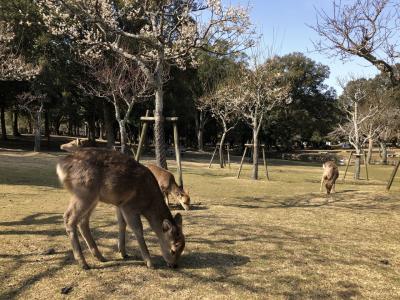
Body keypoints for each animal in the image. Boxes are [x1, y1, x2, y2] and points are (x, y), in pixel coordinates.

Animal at [55, 148, 185, 270]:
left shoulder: (119, 204)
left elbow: (122, 224)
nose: (174, 265)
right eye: (173, 249)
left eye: (183, 247)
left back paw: (100, 257)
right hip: (84, 192)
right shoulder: (129, 206)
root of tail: (60, 165)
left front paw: (123, 252)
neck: (148, 203)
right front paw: (149, 263)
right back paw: (83, 263)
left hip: (93, 198)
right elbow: (138, 229)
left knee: (83, 221)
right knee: (68, 217)